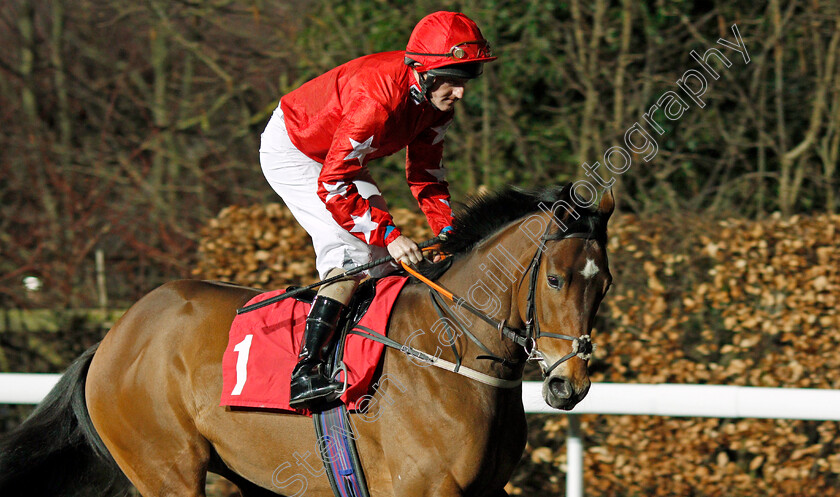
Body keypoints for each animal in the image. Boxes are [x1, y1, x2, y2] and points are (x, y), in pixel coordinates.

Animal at [0, 185, 612, 496]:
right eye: (555, 280)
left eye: (603, 282)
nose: (569, 385)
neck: (449, 354)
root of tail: (114, 338)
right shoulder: (421, 488)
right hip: (165, 469)